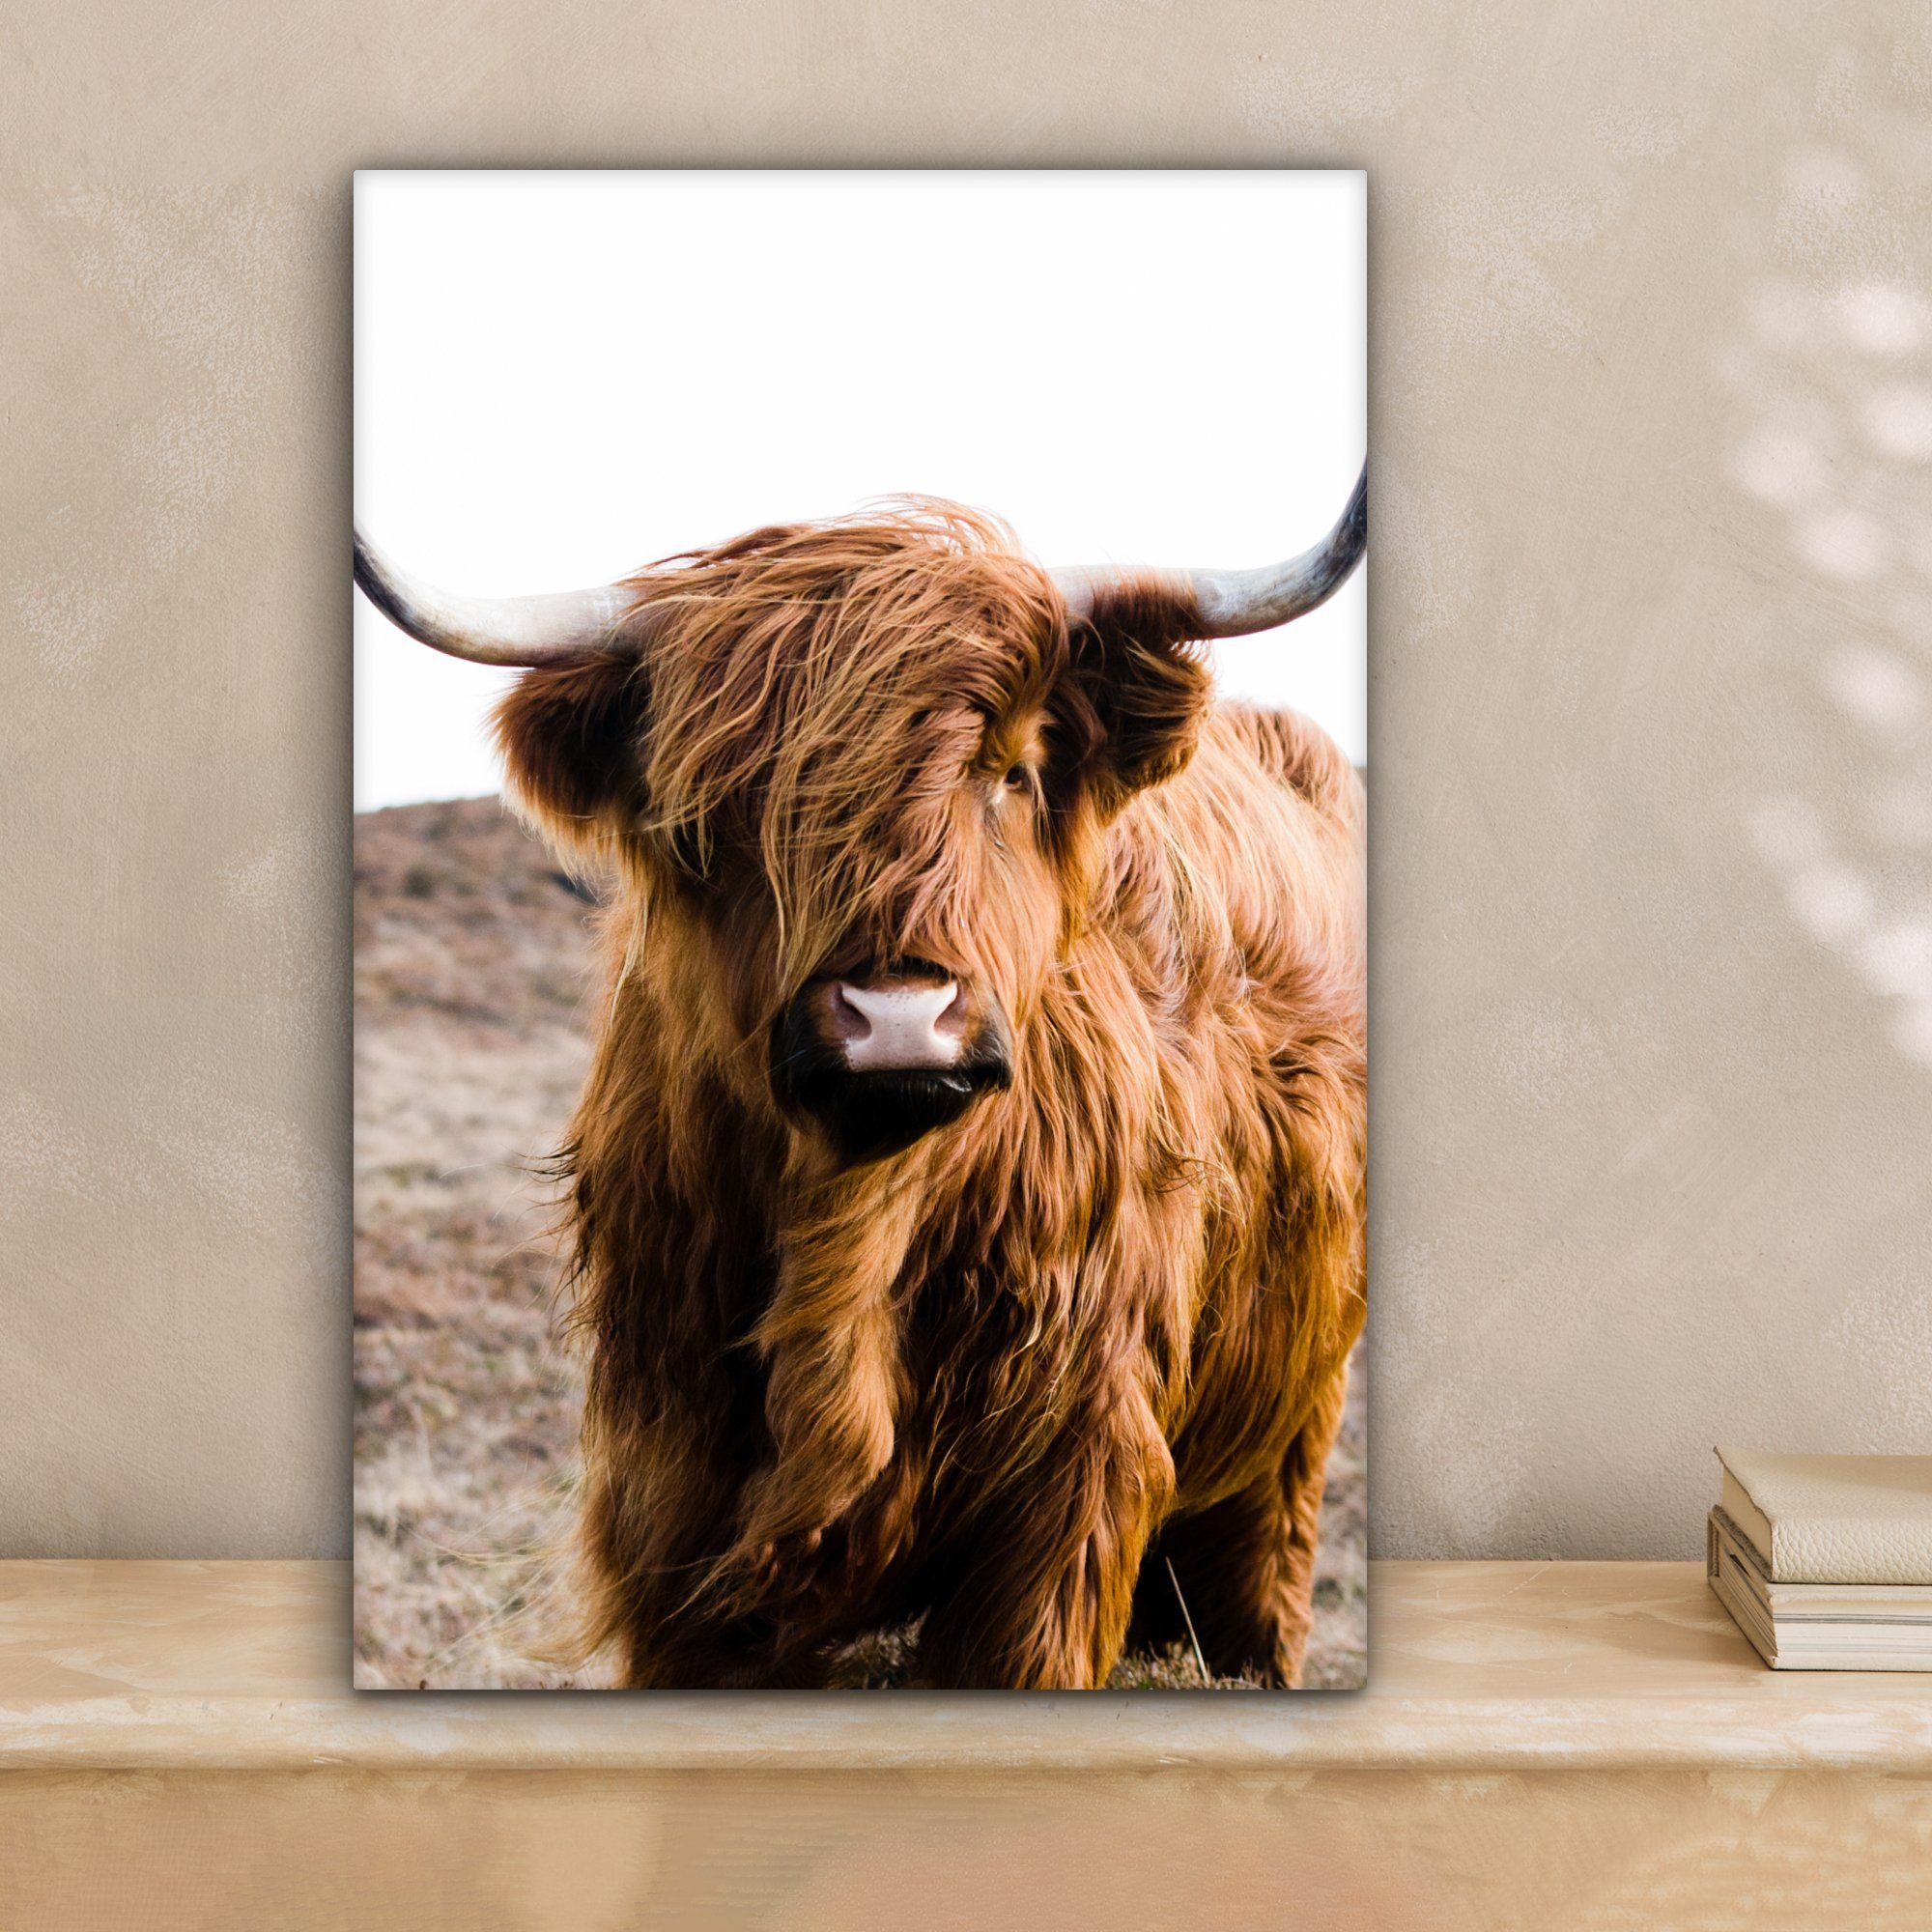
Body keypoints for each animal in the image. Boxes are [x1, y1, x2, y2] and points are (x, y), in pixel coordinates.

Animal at [354, 470, 1366, 1689]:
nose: (896, 1019)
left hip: (1291, 1424)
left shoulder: (1064, 1490)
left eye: (1010, 771)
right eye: (719, 809)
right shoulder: (674, 1497)